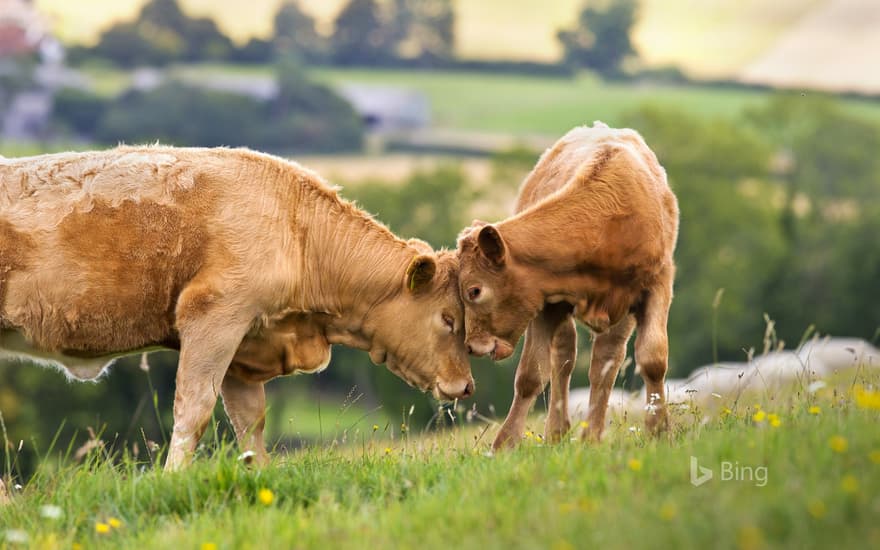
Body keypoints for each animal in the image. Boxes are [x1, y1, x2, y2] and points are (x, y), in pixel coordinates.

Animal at [0, 146, 474, 470]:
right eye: (448, 319)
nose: (467, 386)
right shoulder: (215, 318)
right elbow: (193, 411)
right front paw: (172, 479)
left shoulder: (246, 346)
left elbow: (250, 423)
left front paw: (261, 480)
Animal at [458, 123, 676, 450]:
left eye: (475, 291)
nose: (472, 346)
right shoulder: (544, 302)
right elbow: (531, 375)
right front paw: (505, 445)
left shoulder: (657, 283)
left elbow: (652, 358)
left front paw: (659, 431)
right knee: (564, 357)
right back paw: (558, 432)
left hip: (620, 311)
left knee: (605, 361)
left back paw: (592, 435)